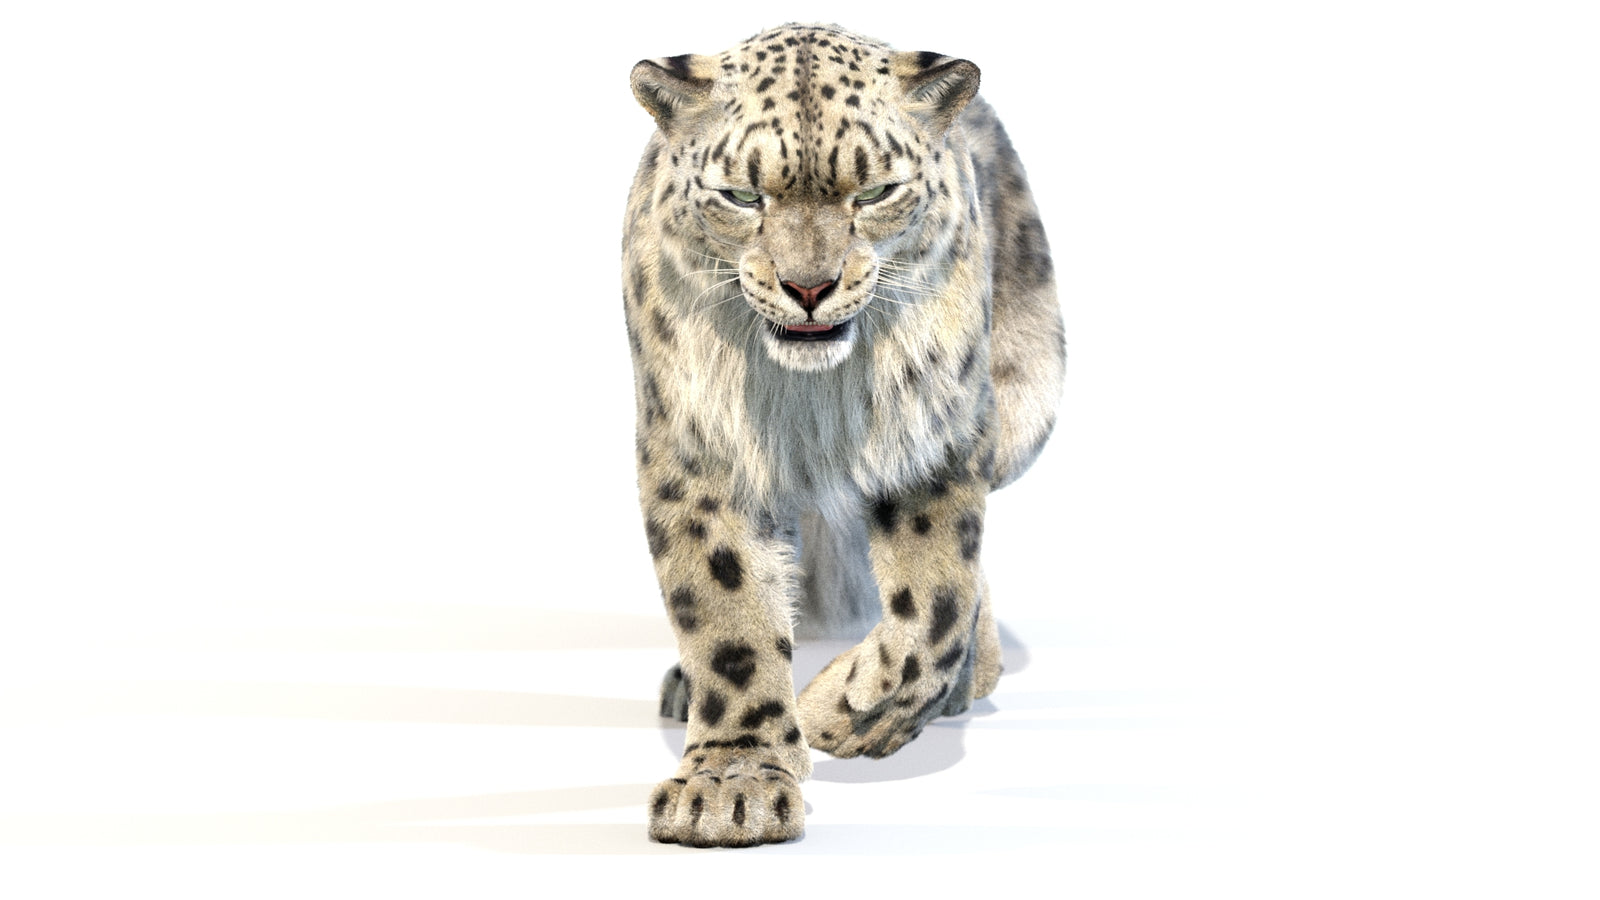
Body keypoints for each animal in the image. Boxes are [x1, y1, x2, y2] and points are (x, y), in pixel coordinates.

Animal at [621, 23, 1064, 847]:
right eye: (741, 195)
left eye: (876, 192)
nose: (808, 287)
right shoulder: (700, 446)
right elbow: (727, 611)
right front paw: (731, 785)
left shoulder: (935, 433)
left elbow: (936, 603)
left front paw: (845, 715)